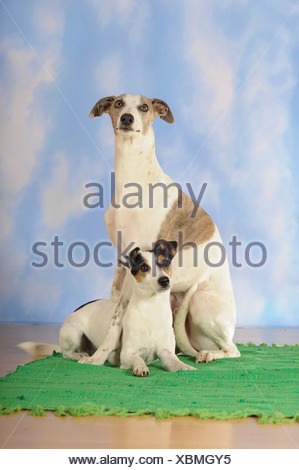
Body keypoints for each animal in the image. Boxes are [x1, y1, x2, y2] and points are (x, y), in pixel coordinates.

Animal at [81, 93, 240, 366]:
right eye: (118, 104)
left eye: (144, 107)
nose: (127, 118)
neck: (132, 177)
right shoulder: (122, 261)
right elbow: (117, 312)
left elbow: (116, 320)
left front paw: (97, 358)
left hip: (199, 304)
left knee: (233, 349)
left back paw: (210, 354)